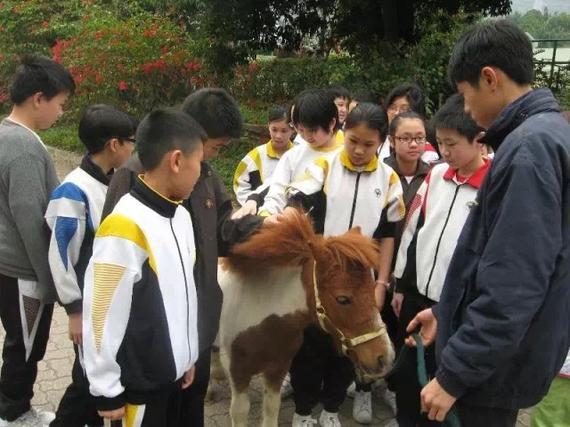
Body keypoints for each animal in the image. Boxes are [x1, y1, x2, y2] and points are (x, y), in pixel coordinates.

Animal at [215, 211, 392, 427]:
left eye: (372, 287)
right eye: (342, 299)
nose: (385, 357)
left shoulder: (279, 367)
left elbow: (271, 408)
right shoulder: (237, 371)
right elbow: (240, 412)